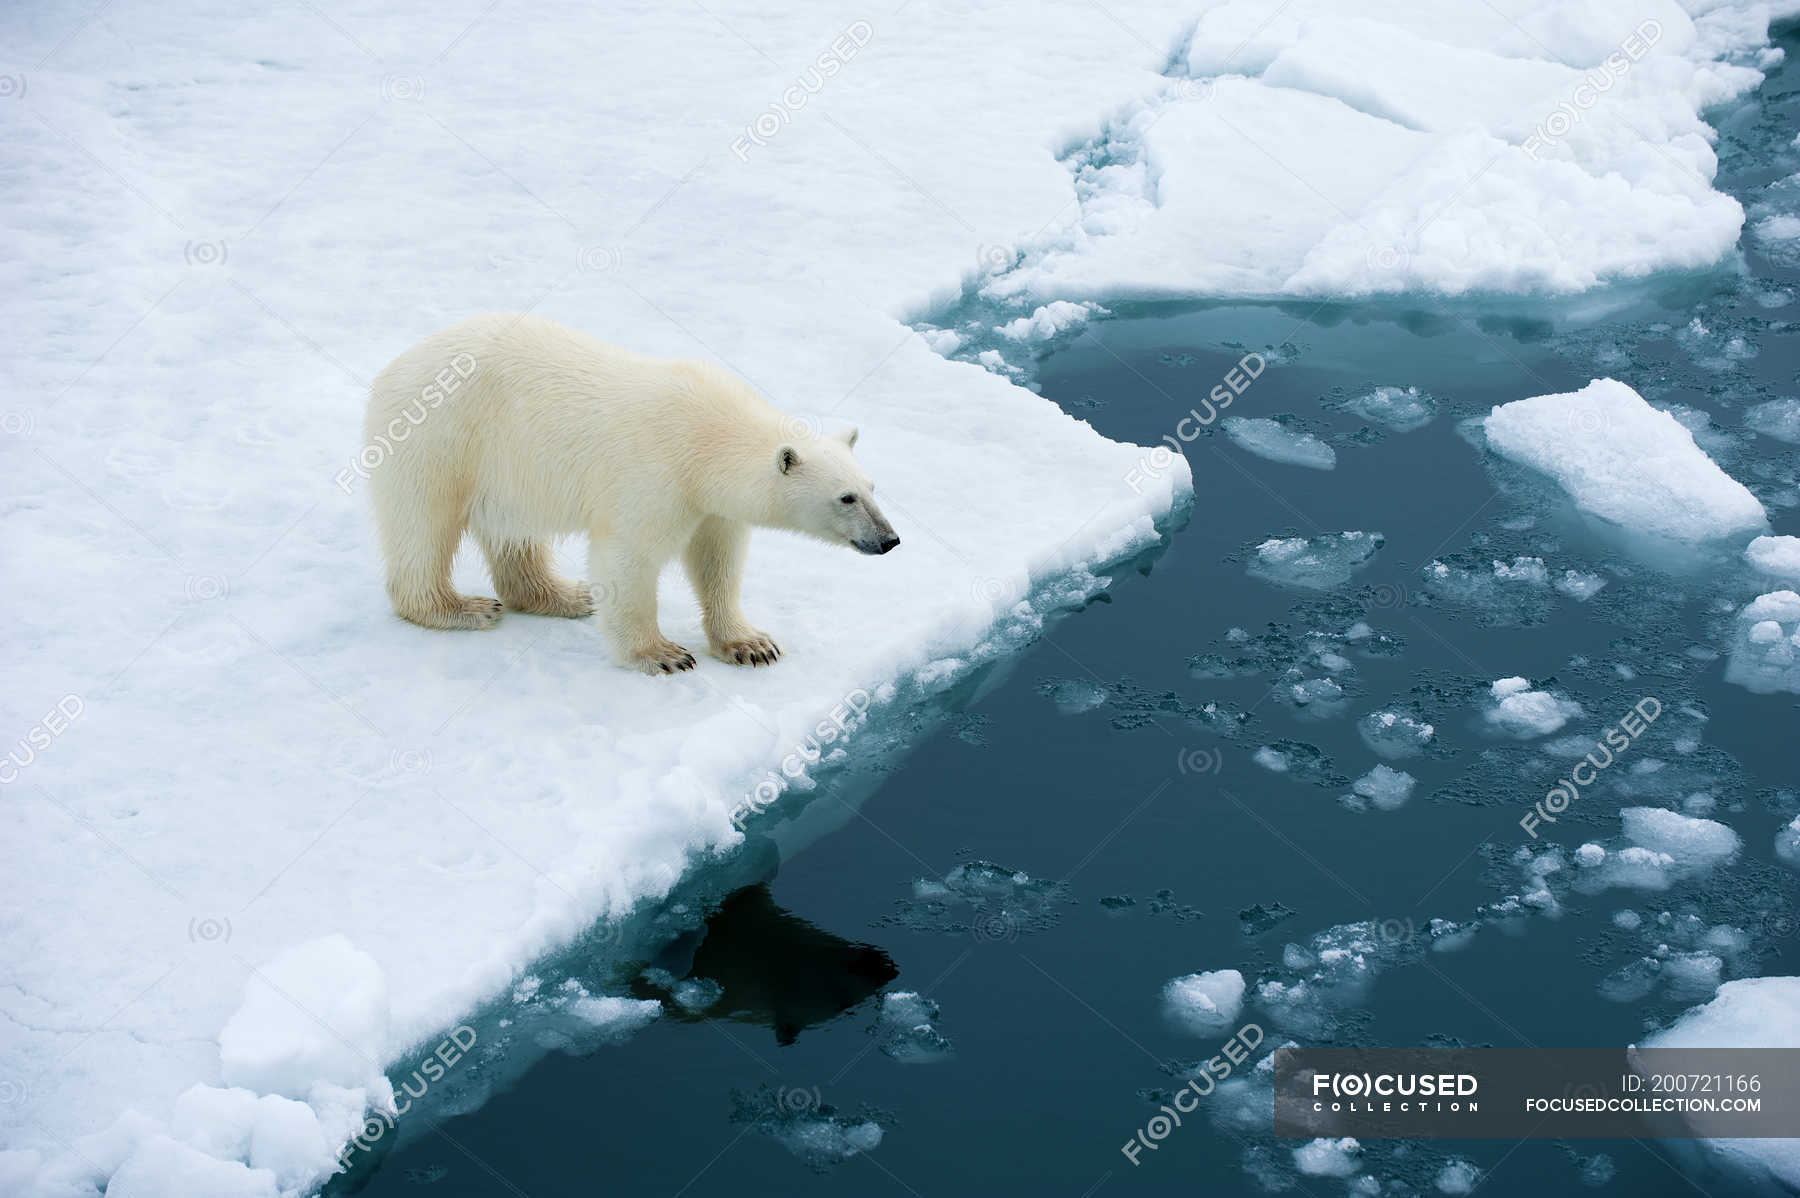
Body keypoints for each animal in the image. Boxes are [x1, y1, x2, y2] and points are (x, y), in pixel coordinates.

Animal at [365, 314, 900, 672]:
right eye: (846, 498)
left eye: (872, 487)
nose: (889, 539)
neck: (706, 433)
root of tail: (391, 368)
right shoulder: (655, 476)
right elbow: (629, 559)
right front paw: (662, 654)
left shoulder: (709, 504)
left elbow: (719, 560)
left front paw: (751, 644)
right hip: (443, 440)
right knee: (424, 525)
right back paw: (462, 608)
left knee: (515, 531)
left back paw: (566, 595)